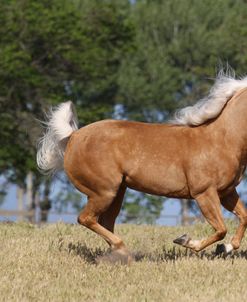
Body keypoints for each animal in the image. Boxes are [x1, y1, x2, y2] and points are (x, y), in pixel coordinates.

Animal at [36, 73, 247, 264]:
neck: (221, 139)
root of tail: (73, 136)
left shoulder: (226, 192)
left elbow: (243, 217)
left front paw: (226, 248)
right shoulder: (204, 193)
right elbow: (221, 229)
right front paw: (187, 241)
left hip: (117, 193)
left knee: (104, 222)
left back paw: (118, 255)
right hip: (103, 192)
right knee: (86, 218)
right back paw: (123, 250)